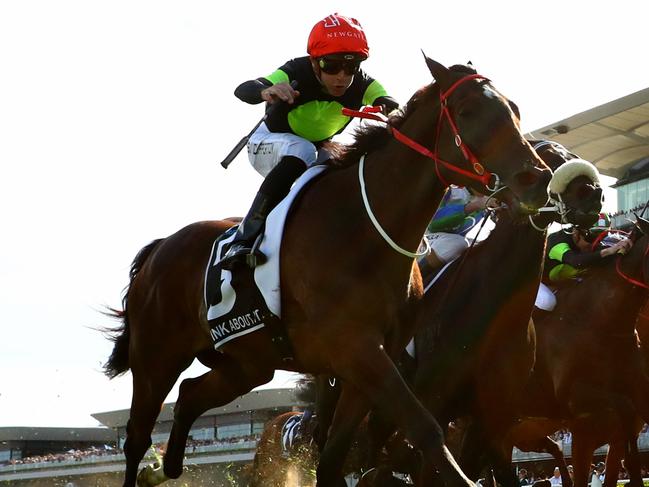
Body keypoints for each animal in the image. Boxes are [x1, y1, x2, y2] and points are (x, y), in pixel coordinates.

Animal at [104, 58, 548, 487]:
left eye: (514, 109)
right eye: (467, 110)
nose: (538, 179)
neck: (363, 227)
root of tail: (159, 247)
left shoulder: (367, 361)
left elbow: (333, 458)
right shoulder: (356, 350)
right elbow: (424, 428)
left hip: (248, 362)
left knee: (189, 396)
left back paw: (161, 469)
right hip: (156, 357)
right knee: (137, 435)